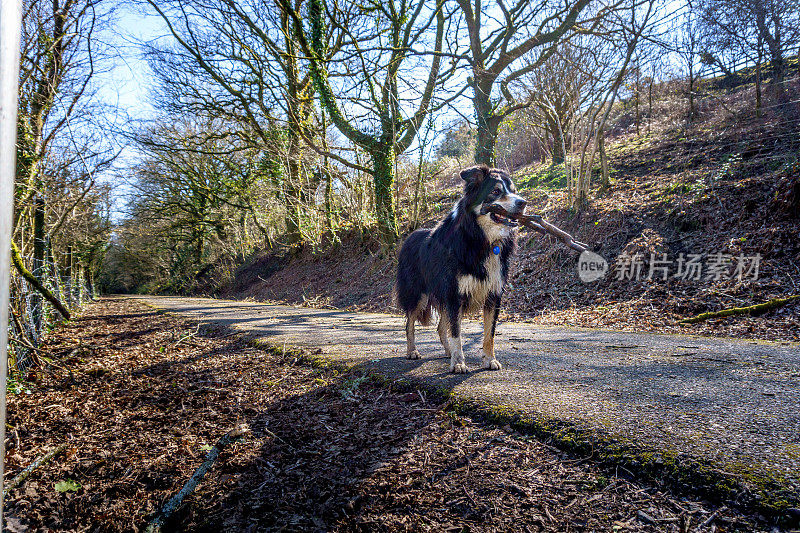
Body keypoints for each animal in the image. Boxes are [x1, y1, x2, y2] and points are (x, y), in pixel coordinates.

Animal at [396, 164, 528, 372]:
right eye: (495, 191)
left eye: (513, 191)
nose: (523, 203)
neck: (482, 239)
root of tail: (408, 237)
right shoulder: (454, 293)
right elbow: (456, 332)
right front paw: (458, 363)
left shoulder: (493, 294)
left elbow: (489, 333)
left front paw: (489, 360)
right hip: (418, 294)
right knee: (410, 323)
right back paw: (412, 351)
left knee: (441, 327)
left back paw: (448, 352)